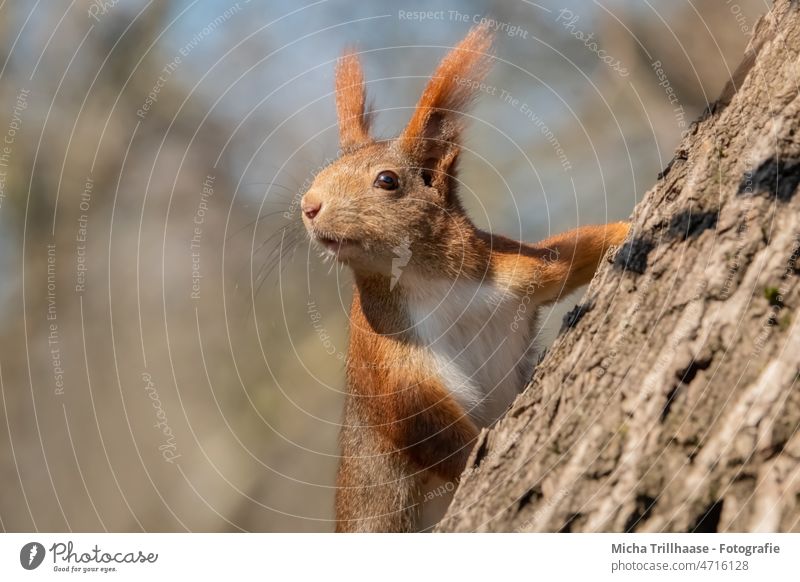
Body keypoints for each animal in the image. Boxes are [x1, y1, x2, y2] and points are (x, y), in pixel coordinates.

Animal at [296, 24, 628, 532]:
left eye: (387, 181)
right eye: (322, 173)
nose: (308, 206)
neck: (432, 281)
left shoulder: (511, 273)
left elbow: (573, 253)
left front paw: (632, 229)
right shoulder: (387, 353)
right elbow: (418, 423)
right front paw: (480, 452)